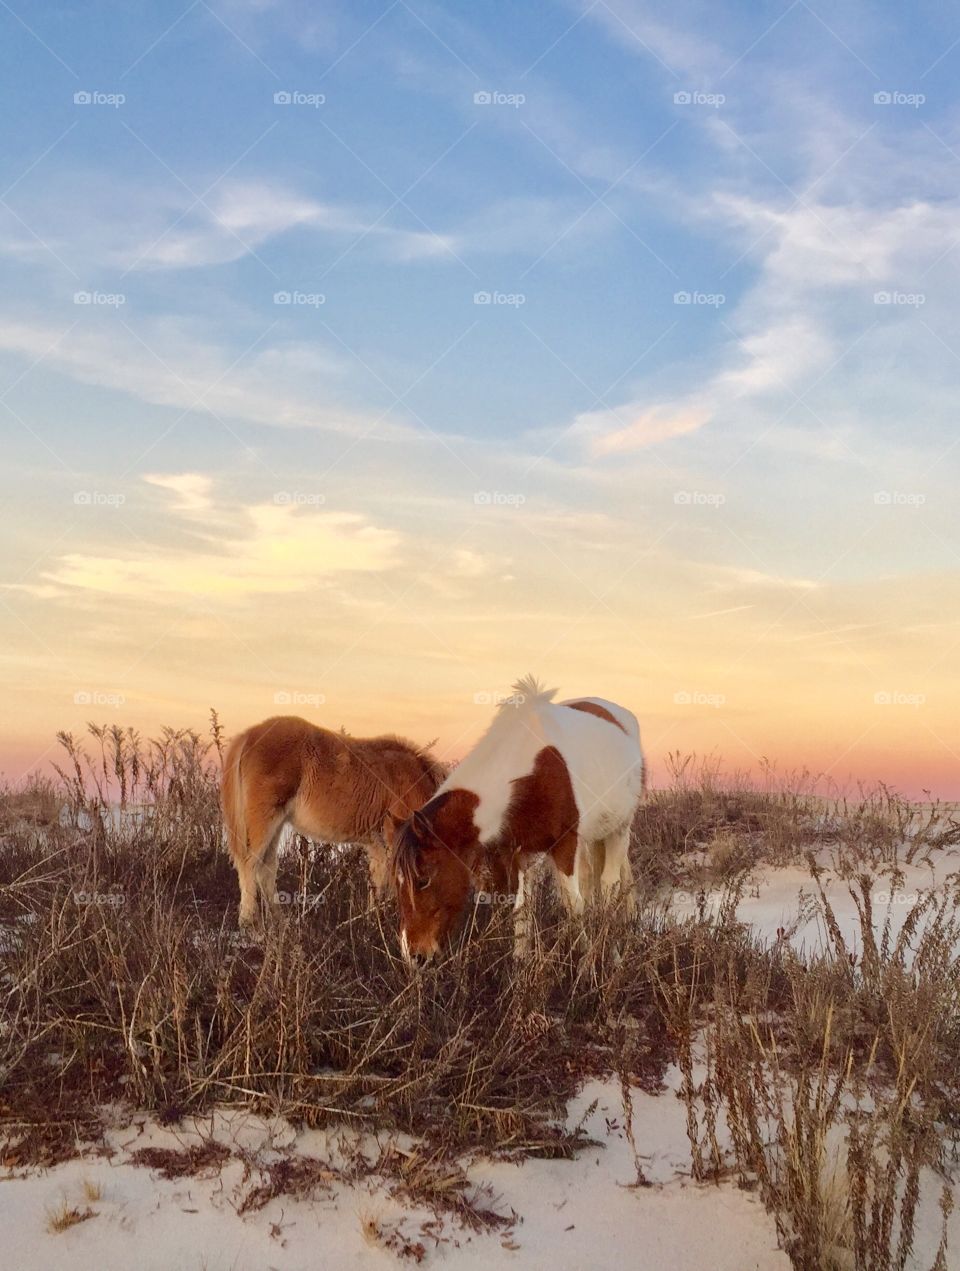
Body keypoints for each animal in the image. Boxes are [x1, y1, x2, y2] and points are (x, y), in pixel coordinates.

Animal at [222, 715, 444, 928]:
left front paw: (372, 921)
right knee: (249, 864)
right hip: (264, 818)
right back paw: (249, 923)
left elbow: (378, 882)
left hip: (276, 823)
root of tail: (249, 735)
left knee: (266, 868)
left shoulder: (378, 844)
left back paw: (280, 922)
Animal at [392, 676, 645, 963]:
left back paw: (612, 953)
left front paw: (585, 962)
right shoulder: (519, 851)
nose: (414, 955)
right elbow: (522, 907)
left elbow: (573, 904)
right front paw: (521, 964)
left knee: (609, 887)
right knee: (590, 881)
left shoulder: (565, 844)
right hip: (590, 838)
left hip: (619, 830)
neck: (532, 769)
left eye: (423, 879)